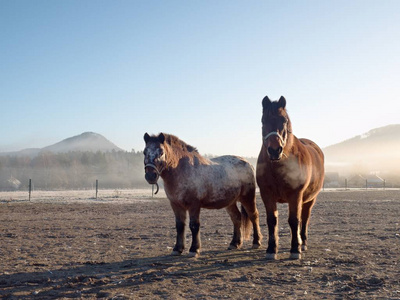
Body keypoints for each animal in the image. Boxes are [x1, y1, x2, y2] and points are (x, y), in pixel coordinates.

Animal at [256, 96, 324, 260]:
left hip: (310, 199)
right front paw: (271, 249)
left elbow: (294, 221)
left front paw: (295, 249)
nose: (275, 150)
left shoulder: (295, 195)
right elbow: (272, 221)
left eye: (284, 120)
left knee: (304, 218)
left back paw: (302, 242)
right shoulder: (266, 194)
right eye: (263, 120)